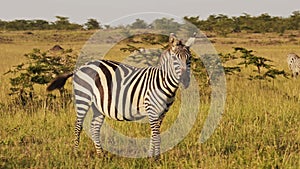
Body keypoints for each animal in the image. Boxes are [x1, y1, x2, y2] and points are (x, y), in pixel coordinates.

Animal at [45, 32, 195, 158]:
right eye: (175, 58)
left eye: (189, 58)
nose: (185, 80)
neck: (163, 82)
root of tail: (80, 67)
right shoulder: (151, 109)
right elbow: (156, 136)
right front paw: (156, 159)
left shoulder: (162, 112)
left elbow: (154, 134)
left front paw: (151, 156)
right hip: (83, 98)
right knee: (78, 126)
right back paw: (76, 153)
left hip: (98, 105)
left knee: (94, 127)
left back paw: (101, 155)